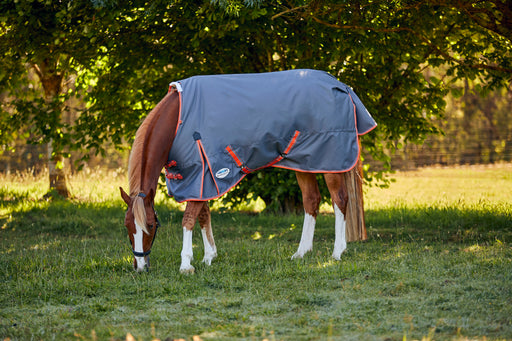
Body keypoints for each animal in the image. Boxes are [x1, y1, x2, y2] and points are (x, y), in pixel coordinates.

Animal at [120, 68, 376, 270]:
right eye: (127, 226)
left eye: (151, 225)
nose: (140, 266)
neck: (178, 119)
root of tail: (341, 86)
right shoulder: (202, 179)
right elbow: (203, 215)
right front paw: (208, 257)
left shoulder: (202, 174)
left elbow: (189, 219)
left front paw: (186, 264)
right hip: (306, 162)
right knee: (311, 201)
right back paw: (301, 252)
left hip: (331, 160)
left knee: (340, 200)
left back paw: (337, 252)